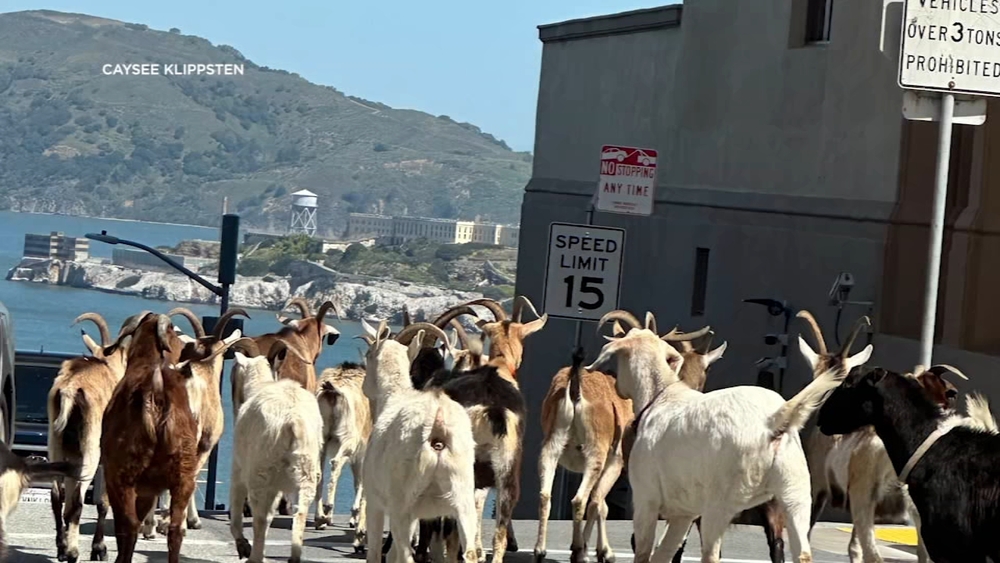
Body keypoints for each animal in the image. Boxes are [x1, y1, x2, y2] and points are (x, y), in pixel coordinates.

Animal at [48, 312, 129, 563]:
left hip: (56, 444)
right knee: (76, 502)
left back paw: (62, 547)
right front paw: (99, 549)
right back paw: (73, 553)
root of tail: (70, 390)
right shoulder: (107, 458)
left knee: (58, 495)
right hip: (91, 450)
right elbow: (103, 503)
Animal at [228, 342, 323, 563]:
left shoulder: (239, 467)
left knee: (260, 518)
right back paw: (293, 557)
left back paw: (255, 557)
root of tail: (293, 421)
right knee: (299, 513)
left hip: (260, 473)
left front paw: (242, 546)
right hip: (306, 473)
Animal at [314, 359, 372, 554]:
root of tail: (332, 392)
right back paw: (327, 510)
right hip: (349, 438)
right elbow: (360, 481)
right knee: (336, 463)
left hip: (320, 437)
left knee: (318, 472)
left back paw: (320, 518)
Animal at [358, 319, 479, 563]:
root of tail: (438, 428)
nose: (364, 386)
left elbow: (375, 553)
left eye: (368, 354)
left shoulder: (376, 502)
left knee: (406, 555)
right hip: (462, 500)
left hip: (402, 506)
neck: (394, 397)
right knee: (469, 552)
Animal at [587, 309, 872, 563]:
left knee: (712, 555)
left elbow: (644, 552)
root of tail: (773, 421)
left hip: (720, 504)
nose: (617, 386)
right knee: (801, 552)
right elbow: (664, 554)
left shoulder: (647, 499)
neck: (663, 394)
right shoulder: (683, 513)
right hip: (796, 495)